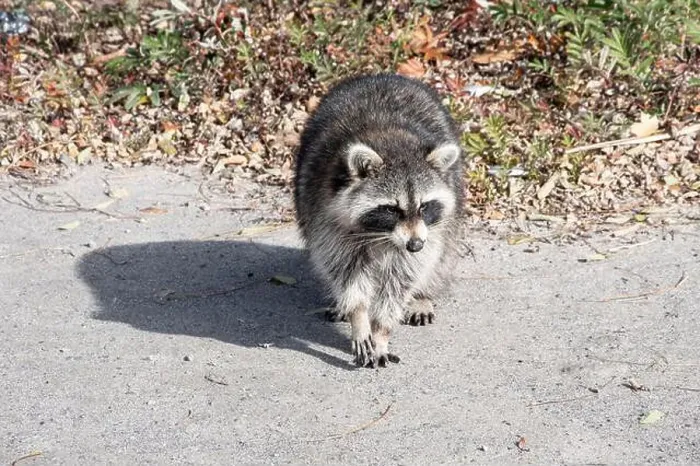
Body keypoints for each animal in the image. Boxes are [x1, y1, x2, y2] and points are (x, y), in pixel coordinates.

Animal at [294, 73, 464, 368]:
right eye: (392, 209)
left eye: (425, 206)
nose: (415, 244)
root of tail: (382, 75)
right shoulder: (327, 216)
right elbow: (345, 271)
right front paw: (359, 317)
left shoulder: (425, 234)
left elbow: (403, 278)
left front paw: (382, 331)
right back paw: (341, 302)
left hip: (447, 219)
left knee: (441, 257)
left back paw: (423, 296)